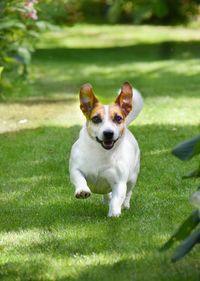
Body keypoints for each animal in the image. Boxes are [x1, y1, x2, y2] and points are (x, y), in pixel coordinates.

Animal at [69, 81, 143, 217]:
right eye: (96, 119)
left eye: (118, 118)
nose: (108, 133)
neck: (101, 153)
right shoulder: (75, 169)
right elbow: (79, 178)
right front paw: (82, 190)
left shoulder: (119, 182)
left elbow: (117, 198)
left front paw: (114, 213)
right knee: (107, 194)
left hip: (132, 178)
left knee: (128, 192)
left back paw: (125, 204)